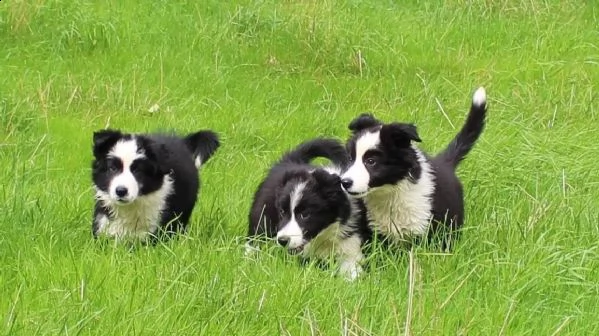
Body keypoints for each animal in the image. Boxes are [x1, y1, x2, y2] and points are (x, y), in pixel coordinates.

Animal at [247, 138, 370, 280]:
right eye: (282, 212)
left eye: (305, 215)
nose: (283, 240)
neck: (323, 236)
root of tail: (290, 160)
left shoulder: (351, 243)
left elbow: (352, 269)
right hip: (262, 216)